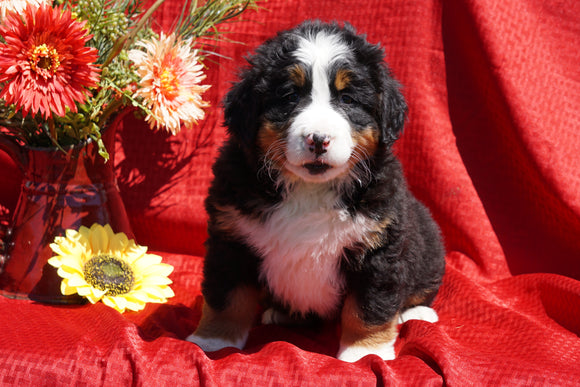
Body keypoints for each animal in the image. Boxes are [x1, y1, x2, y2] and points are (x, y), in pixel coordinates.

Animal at [186, 19, 444, 362]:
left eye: (347, 99)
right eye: (290, 96)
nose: (318, 139)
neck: (309, 190)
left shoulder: (379, 249)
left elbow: (368, 307)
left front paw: (364, 352)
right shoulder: (231, 238)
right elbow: (226, 297)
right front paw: (212, 341)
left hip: (428, 244)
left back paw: (416, 313)